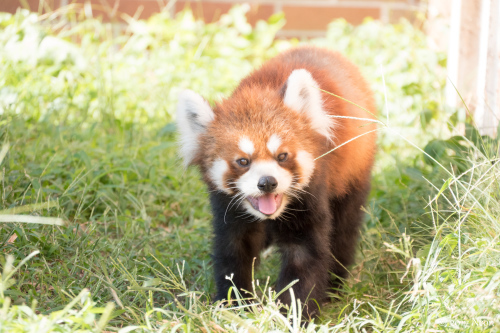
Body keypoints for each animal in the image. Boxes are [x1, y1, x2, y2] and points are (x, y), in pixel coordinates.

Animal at [176, 46, 376, 314]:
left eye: (282, 156)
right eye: (243, 161)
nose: (267, 182)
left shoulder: (312, 194)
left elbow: (305, 257)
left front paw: (293, 312)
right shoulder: (228, 210)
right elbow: (233, 251)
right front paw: (235, 304)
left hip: (354, 173)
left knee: (344, 229)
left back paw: (334, 286)